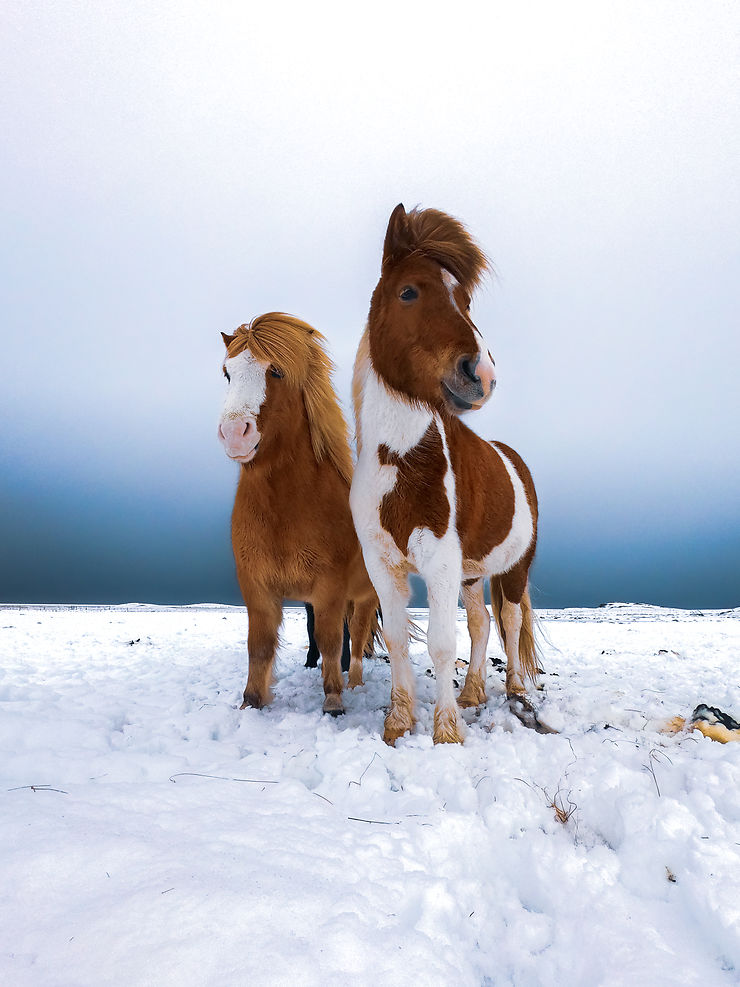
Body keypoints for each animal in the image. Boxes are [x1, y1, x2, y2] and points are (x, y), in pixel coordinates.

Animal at [214, 312, 376, 712]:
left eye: (276, 371)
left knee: (358, 635)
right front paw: (252, 702)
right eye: (227, 373)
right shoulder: (256, 588)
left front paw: (333, 700)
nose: (234, 433)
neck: (283, 512)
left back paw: (355, 682)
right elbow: (259, 646)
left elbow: (332, 641)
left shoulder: (330, 590)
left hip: (365, 595)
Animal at [350, 205, 540, 744]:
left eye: (466, 299)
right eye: (408, 292)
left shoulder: (438, 562)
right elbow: (398, 639)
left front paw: (447, 732)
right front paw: (398, 723)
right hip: (473, 573)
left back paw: (515, 690)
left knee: (510, 622)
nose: (482, 374)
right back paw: (474, 692)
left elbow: (439, 642)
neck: (401, 466)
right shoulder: (383, 565)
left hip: (514, 568)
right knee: (481, 623)